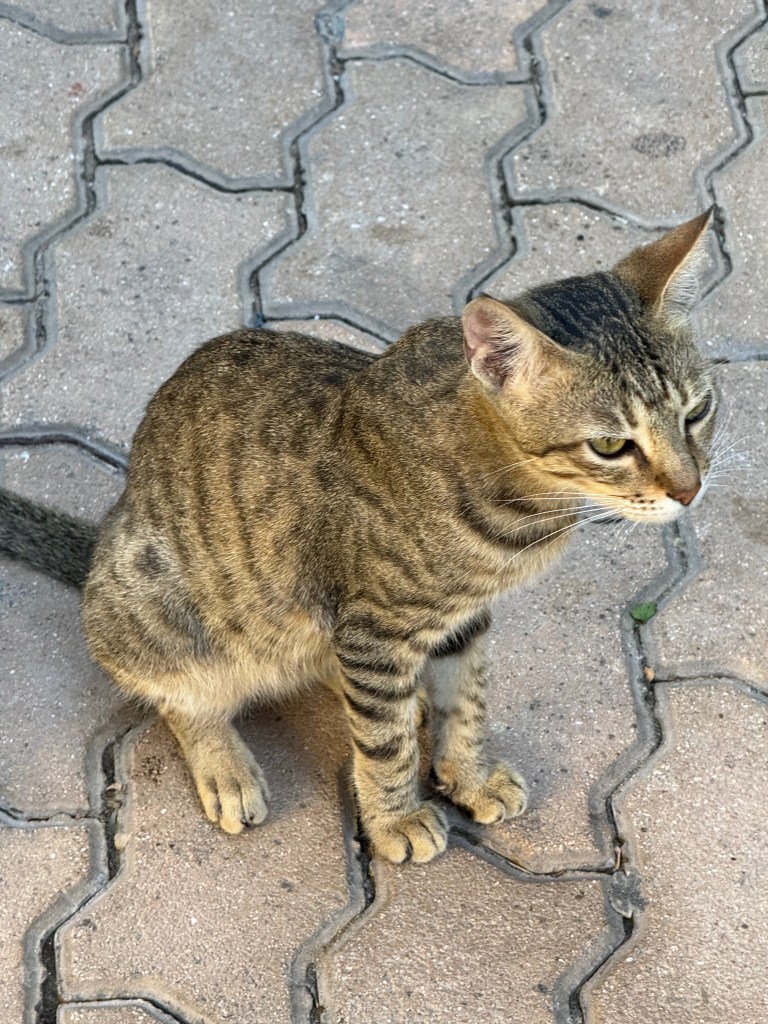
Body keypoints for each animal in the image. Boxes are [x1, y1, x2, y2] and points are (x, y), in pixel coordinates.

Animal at [0, 210, 717, 864]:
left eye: (698, 411)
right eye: (611, 446)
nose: (690, 489)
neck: (516, 510)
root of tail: (106, 535)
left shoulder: (462, 617)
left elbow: (467, 701)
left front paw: (468, 770)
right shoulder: (377, 626)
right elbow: (385, 746)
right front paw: (396, 817)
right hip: (159, 603)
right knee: (181, 695)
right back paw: (225, 763)